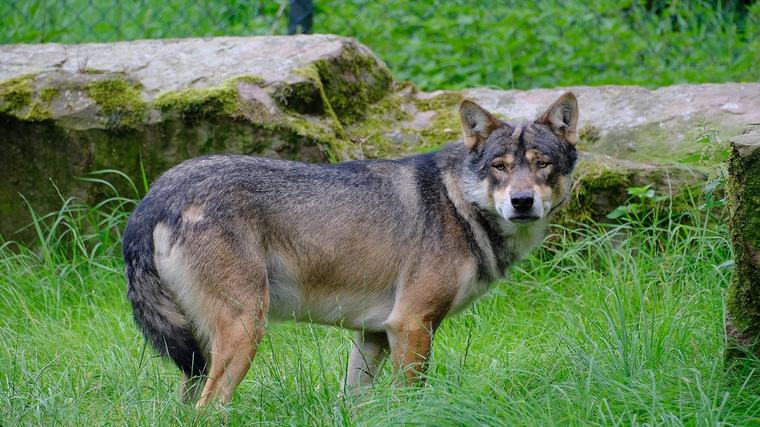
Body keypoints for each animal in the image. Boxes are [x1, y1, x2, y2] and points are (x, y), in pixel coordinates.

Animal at [122, 92, 579, 406]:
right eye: (500, 167)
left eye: (542, 165)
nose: (522, 202)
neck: (458, 204)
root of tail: (154, 197)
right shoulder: (411, 325)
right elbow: (411, 399)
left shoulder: (373, 334)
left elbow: (355, 402)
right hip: (244, 331)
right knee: (209, 408)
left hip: (199, 354)